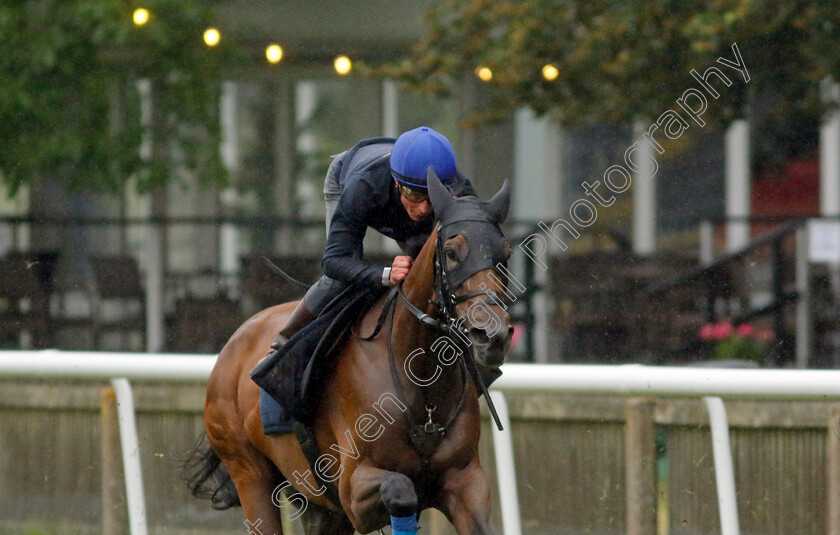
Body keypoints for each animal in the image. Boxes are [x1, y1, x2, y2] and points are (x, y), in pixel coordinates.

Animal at [190, 173, 516, 535]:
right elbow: (400, 489)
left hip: (321, 509)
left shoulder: (465, 480)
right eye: (451, 252)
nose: (493, 335)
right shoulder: (351, 489)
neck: (422, 381)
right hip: (250, 472)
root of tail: (231, 347)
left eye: (506, 254)